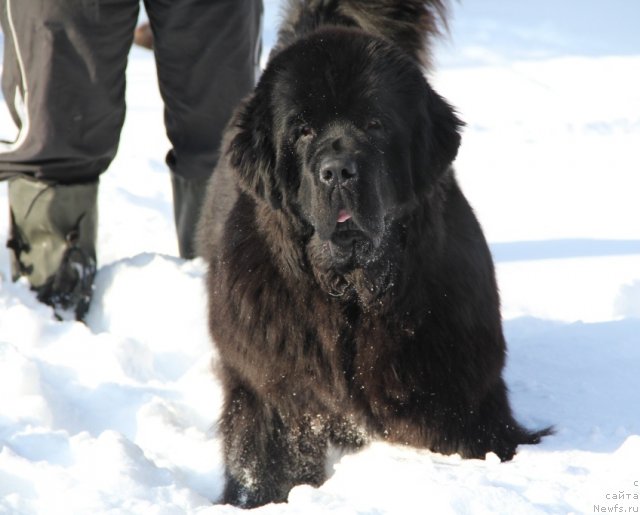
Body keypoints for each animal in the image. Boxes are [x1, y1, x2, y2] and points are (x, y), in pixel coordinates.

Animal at [196, 0, 552, 508]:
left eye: (375, 124)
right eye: (302, 131)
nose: (338, 170)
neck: (351, 292)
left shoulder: (457, 386)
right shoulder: (272, 388)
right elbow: (266, 459)